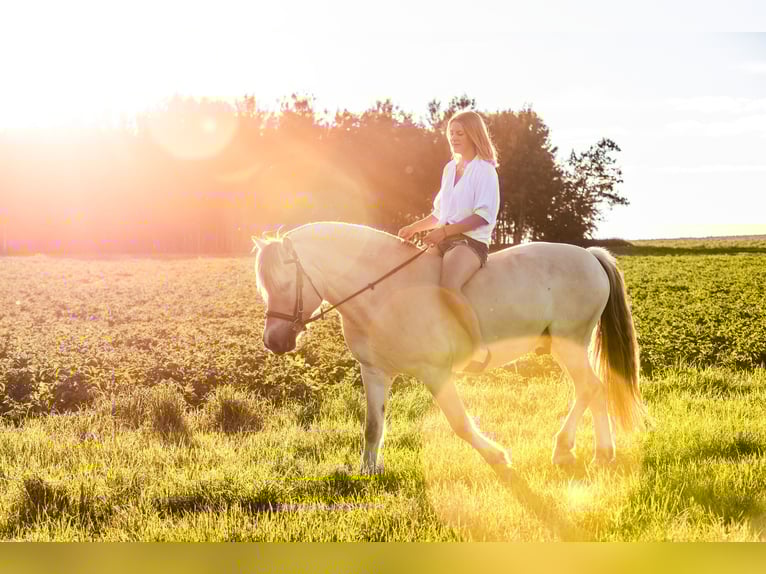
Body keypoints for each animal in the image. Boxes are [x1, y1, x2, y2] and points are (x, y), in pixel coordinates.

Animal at [252, 221, 645, 476]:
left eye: (283, 282)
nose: (274, 341)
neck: (385, 292)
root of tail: (590, 256)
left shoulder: (436, 373)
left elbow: (460, 423)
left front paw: (498, 456)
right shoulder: (375, 372)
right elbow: (373, 426)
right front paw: (368, 473)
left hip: (569, 345)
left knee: (590, 387)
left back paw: (569, 450)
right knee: (594, 389)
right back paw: (600, 453)